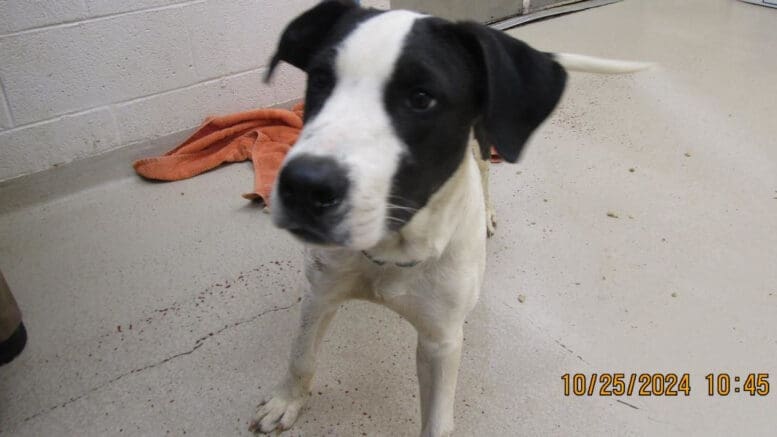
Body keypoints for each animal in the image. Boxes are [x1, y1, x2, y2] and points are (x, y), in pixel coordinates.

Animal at [249, 1, 648, 434]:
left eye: (422, 98)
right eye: (320, 80)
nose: (304, 186)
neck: (392, 247)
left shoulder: (441, 341)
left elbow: (437, 421)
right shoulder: (320, 293)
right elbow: (301, 356)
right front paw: (286, 402)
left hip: (487, 134)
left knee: (484, 167)